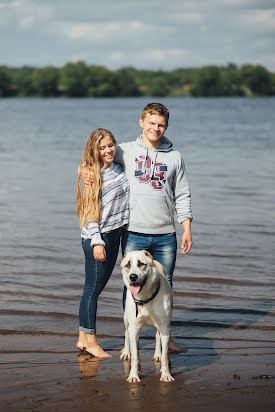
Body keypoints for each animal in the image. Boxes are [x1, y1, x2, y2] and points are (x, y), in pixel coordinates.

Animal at [120, 251, 175, 384]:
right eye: (127, 265)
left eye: (141, 263)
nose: (133, 277)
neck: (144, 297)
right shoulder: (134, 325)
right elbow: (135, 355)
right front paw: (133, 376)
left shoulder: (165, 326)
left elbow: (165, 355)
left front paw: (166, 375)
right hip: (127, 319)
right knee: (127, 333)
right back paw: (126, 352)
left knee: (157, 336)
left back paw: (157, 354)